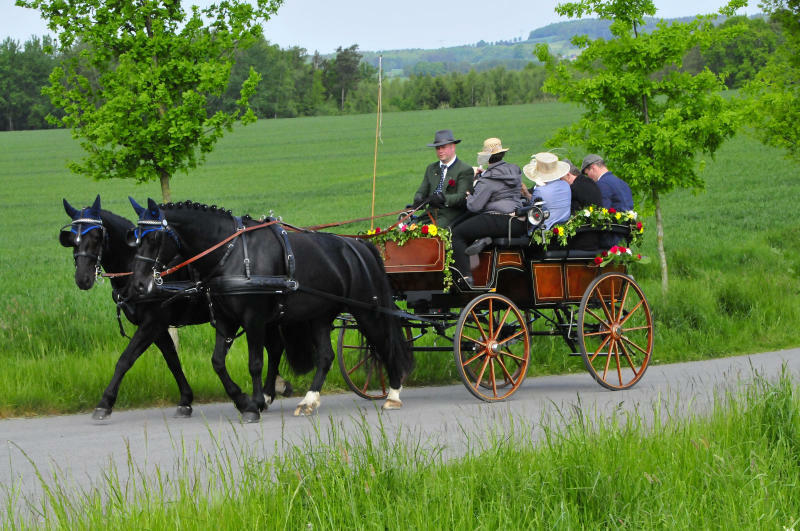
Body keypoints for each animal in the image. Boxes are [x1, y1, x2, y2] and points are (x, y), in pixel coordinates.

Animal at [61, 195, 294, 420]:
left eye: (96, 236)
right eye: (72, 239)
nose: (82, 278)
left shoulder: (153, 322)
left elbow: (125, 359)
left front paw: (105, 402)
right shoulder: (158, 328)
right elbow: (172, 360)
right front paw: (185, 400)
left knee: (274, 348)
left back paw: (268, 393)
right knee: (275, 347)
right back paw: (272, 390)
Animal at [130, 197, 412, 422]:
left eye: (153, 237)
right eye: (134, 239)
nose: (139, 285)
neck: (231, 253)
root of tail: (359, 246)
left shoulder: (253, 319)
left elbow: (255, 363)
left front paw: (253, 405)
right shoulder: (225, 320)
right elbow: (218, 362)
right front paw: (242, 400)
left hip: (366, 311)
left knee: (385, 346)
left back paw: (393, 395)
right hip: (320, 317)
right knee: (326, 357)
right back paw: (308, 401)